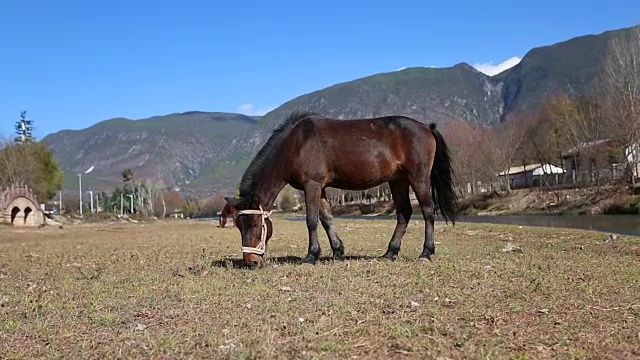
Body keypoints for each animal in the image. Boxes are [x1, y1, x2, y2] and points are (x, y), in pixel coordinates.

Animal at [222, 111, 458, 266]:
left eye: (255, 224)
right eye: (238, 226)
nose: (250, 261)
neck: (296, 144)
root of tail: (427, 128)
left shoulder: (312, 185)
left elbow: (311, 220)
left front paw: (311, 256)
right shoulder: (321, 188)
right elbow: (327, 219)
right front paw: (338, 252)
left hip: (418, 178)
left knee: (427, 211)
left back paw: (426, 253)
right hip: (398, 181)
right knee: (404, 213)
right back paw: (390, 253)